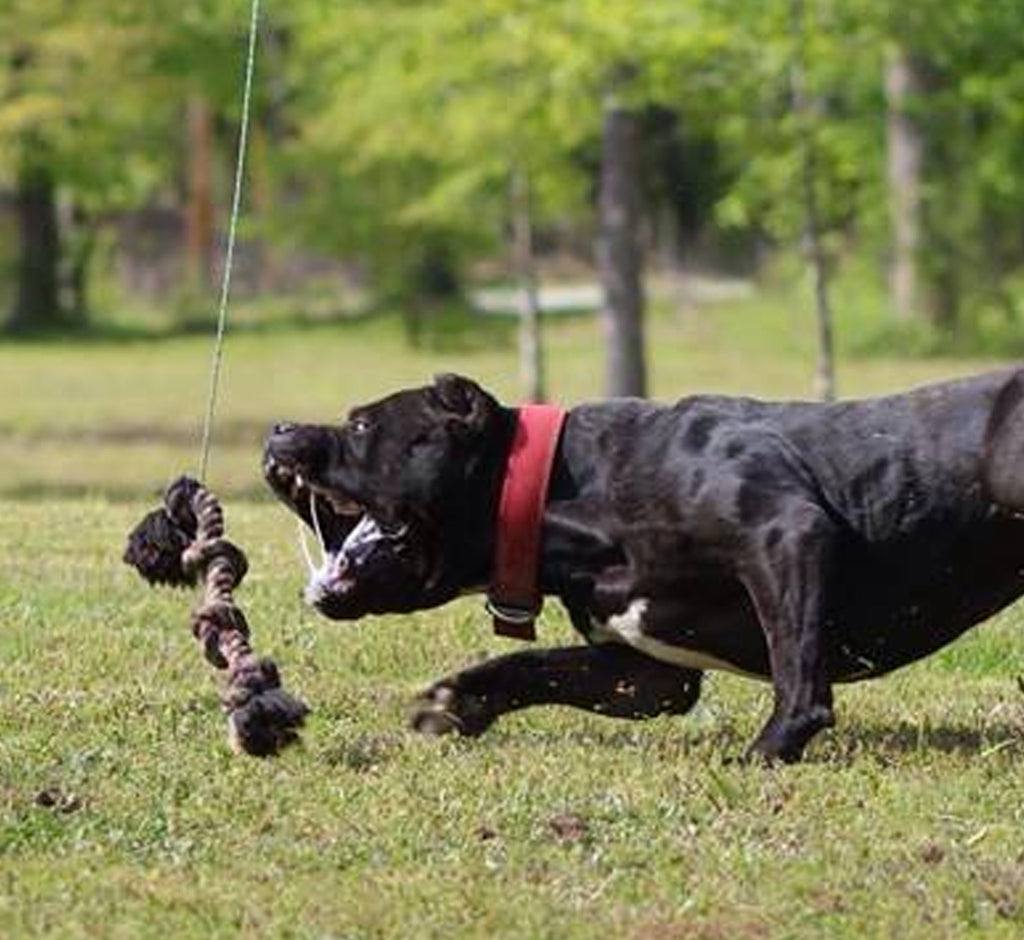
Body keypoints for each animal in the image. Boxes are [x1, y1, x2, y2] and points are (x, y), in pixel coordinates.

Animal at [264, 370, 1024, 765]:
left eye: (362, 425)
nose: (279, 428)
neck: (564, 495)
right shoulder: (645, 668)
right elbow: (537, 667)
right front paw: (460, 700)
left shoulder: (785, 532)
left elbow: (798, 668)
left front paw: (770, 749)